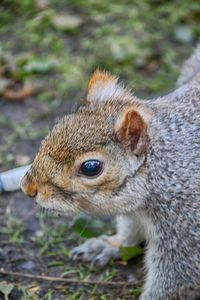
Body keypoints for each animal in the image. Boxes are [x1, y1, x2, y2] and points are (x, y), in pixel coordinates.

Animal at [19, 45, 200, 300]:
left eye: (91, 168)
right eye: (57, 127)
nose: (28, 188)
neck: (163, 169)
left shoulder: (185, 225)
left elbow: (176, 279)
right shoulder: (135, 212)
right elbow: (129, 231)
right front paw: (109, 245)